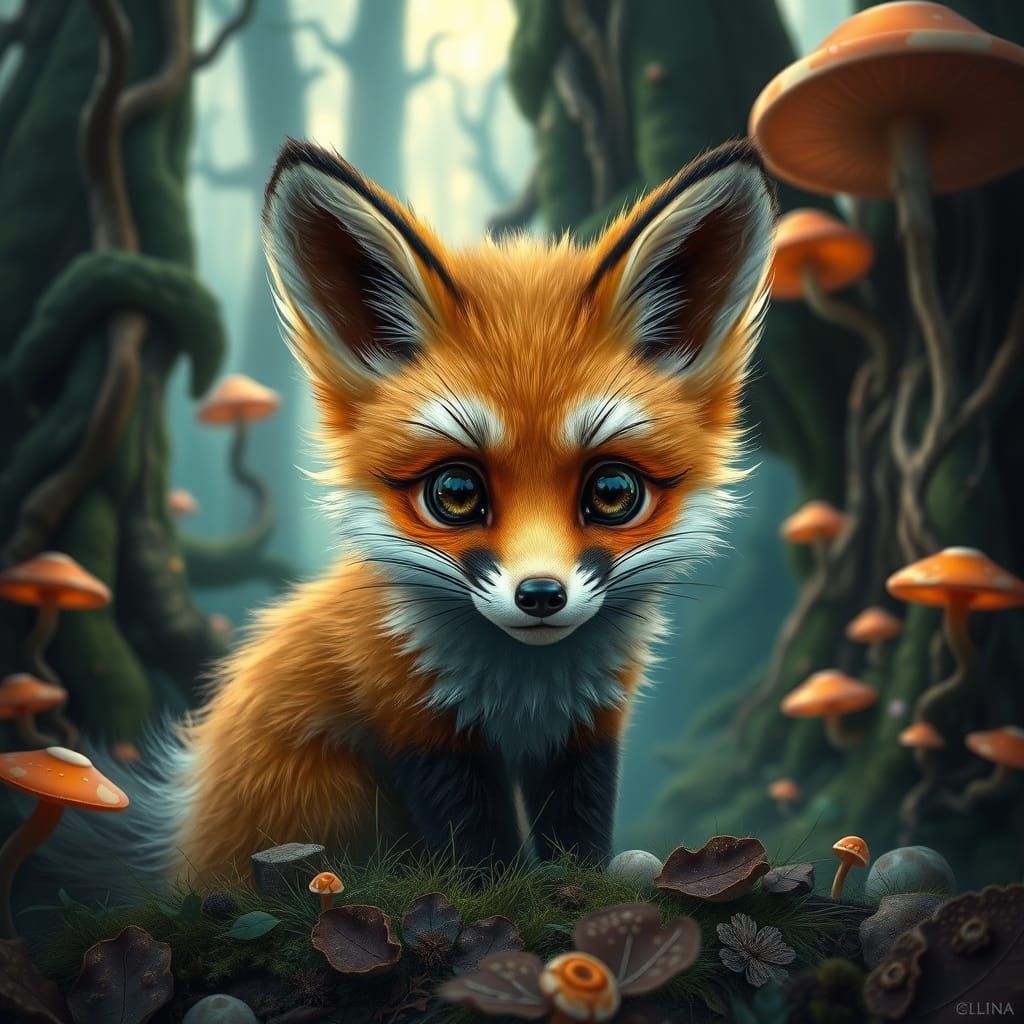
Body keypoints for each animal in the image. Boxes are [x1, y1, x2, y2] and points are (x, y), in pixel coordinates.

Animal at [55, 137, 776, 888]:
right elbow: (479, 846)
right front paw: (500, 894)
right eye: (454, 492)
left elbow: (576, 833)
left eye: (612, 491)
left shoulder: (585, 730)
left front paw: (580, 883)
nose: (540, 595)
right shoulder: (416, 726)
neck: (524, 689)